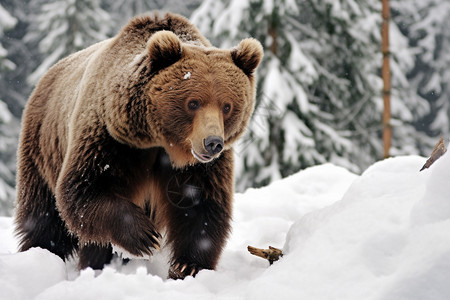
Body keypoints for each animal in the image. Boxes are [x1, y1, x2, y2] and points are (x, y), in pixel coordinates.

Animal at [14, 11, 264, 278]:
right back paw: (43, 255)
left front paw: (188, 266)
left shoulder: (200, 168)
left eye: (227, 106)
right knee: (44, 216)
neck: (161, 142)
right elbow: (82, 189)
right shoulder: (111, 139)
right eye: (193, 103)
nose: (213, 143)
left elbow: (202, 207)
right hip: (41, 146)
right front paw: (145, 236)